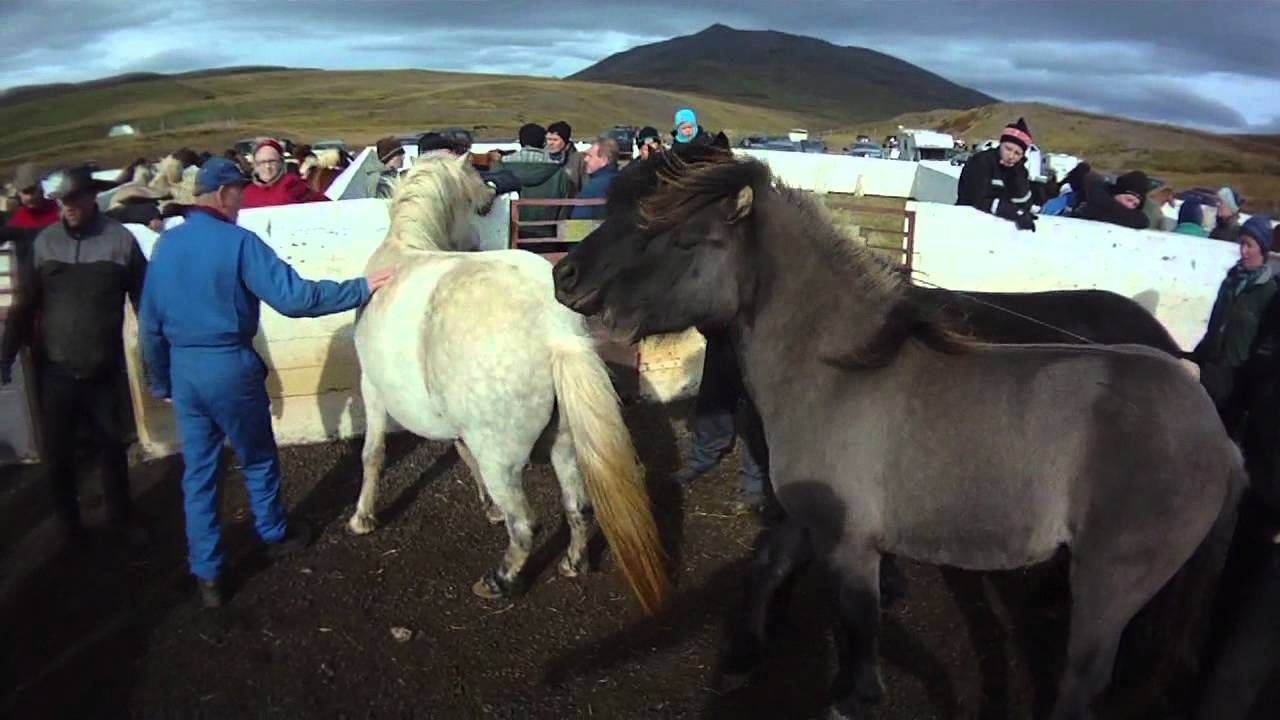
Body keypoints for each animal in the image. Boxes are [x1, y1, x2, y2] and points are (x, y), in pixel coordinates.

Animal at [346, 153, 668, 614]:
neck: (400, 250)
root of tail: (552, 328)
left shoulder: (371, 388)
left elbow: (372, 454)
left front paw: (363, 518)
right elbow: (463, 454)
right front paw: (488, 507)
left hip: (505, 460)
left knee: (526, 524)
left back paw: (498, 580)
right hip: (565, 445)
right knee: (578, 506)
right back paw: (573, 563)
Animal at [552, 151, 1243, 719]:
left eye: (683, 237)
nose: (567, 276)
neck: (838, 371)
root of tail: (1220, 437)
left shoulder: (853, 543)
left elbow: (859, 646)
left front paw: (842, 694)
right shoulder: (809, 518)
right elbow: (768, 568)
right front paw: (743, 656)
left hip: (1111, 582)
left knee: (1081, 686)